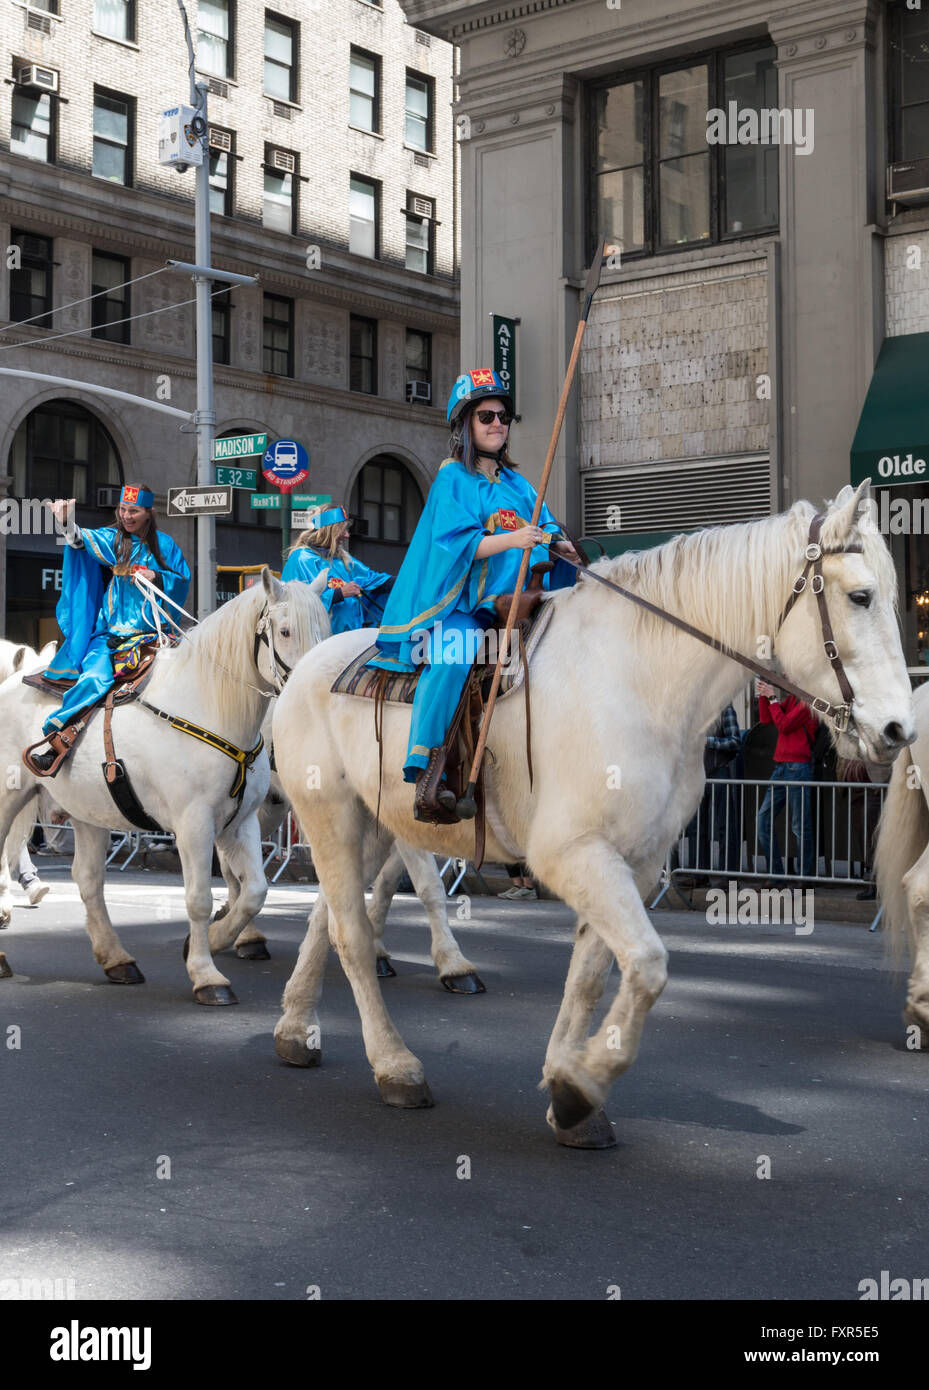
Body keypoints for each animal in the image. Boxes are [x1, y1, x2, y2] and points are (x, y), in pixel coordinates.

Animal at [0, 569, 329, 1006]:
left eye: (326, 630)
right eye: (286, 630)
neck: (209, 709)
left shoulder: (241, 822)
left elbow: (254, 892)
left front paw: (216, 940)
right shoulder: (194, 825)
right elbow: (199, 899)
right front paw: (207, 975)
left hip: (89, 812)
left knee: (88, 879)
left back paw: (117, 960)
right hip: (8, 796)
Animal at [272, 483, 912, 1145]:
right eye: (860, 596)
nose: (899, 729)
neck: (638, 681)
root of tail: (309, 667)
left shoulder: (636, 862)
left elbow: (592, 972)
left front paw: (566, 1083)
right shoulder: (571, 853)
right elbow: (648, 965)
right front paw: (583, 1086)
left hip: (370, 825)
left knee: (328, 915)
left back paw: (296, 1029)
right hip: (330, 816)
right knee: (350, 934)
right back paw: (395, 1066)